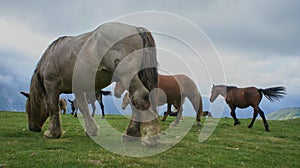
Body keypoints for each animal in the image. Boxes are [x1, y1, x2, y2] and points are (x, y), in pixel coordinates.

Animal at [19, 22, 159, 146]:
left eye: (28, 108)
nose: (32, 127)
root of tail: (137, 29)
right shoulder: (78, 88)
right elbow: (83, 107)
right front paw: (91, 130)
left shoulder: (51, 85)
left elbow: (53, 107)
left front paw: (52, 133)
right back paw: (131, 134)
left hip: (127, 76)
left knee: (140, 96)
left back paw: (149, 138)